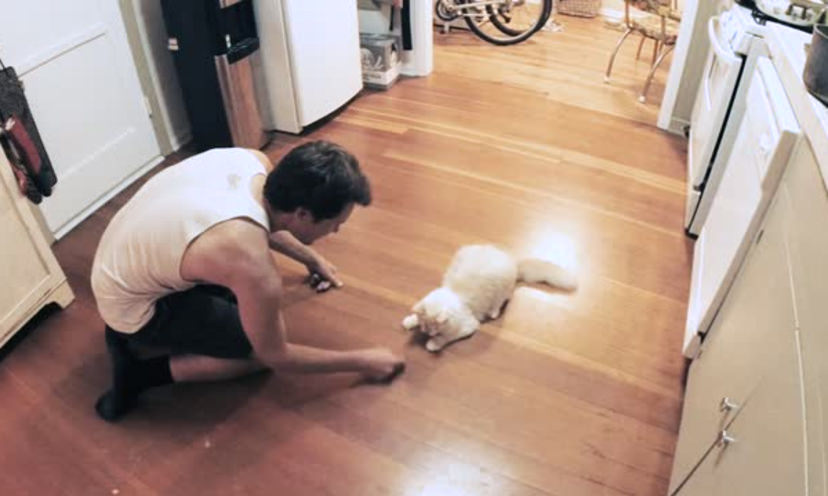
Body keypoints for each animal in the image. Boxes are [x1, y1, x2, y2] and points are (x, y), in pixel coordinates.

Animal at [402, 244, 577, 352]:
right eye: (425, 325)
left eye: (434, 328)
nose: (426, 332)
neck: (454, 294)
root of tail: (513, 262)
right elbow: (414, 318)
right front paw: (410, 321)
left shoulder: (468, 326)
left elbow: (447, 337)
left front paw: (433, 344)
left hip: (501, 289)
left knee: (502, 301)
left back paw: (493, 313)